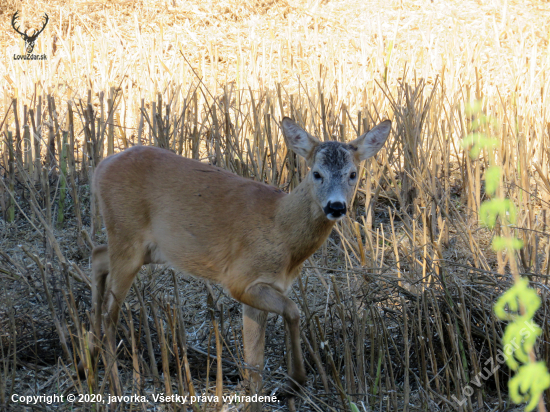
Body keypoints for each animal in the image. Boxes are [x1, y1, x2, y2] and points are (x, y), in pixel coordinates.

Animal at [81, 117, 392, 408]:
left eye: (353, 174)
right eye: (316, 173)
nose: (336, 206)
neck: (281, 230)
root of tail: (101, 166)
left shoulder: (266, 287)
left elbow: (254, 361)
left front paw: (259, 395)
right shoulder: (241, 279)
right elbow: (293, 312)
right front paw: (293, 383)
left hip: (148, 248)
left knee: (98, 256)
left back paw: (91, 354)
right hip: (127, 234)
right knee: (110, 309)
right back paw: (113, 382)